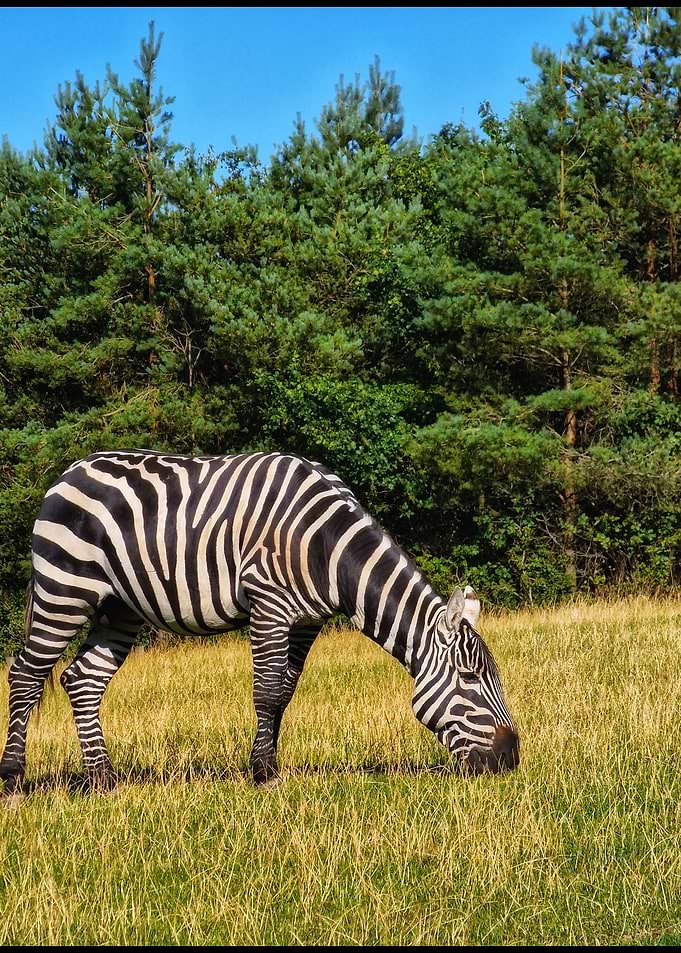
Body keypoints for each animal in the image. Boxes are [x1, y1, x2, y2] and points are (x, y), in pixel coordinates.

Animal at [0, 450, 519, 795]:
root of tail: (69, 472)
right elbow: (266, 692)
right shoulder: (269, 604)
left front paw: (266, 763)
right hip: (64, 588)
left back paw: (102, 780)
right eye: (470, 678)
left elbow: (284, 692)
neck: (328, 548)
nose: (510, 759)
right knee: (25, 676)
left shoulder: (307, 621)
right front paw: (264, 777)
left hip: (118, 607)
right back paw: (13, 779)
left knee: (82, 679)